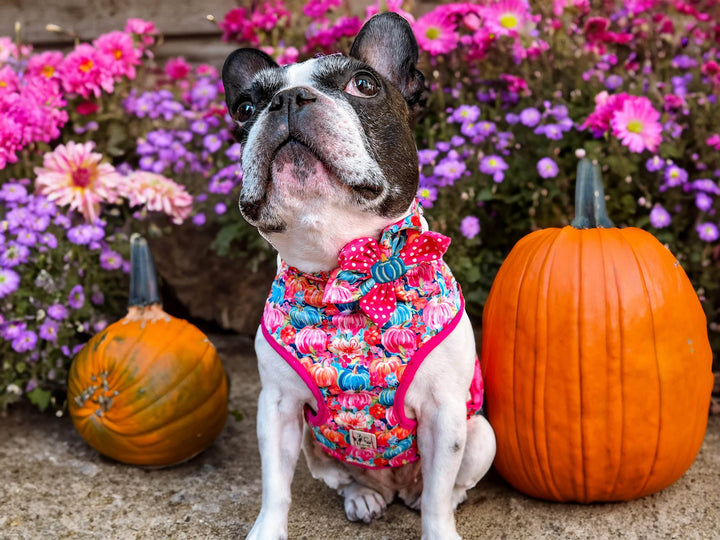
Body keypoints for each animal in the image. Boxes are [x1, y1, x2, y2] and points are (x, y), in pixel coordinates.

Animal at [222, 12, 498, 540]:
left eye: (364, 84)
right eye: (246, 107)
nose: (288, 99)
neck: (346, 268)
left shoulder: (445, 415)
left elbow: (439, 500)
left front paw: (438, 526)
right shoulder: (277, 411)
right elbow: (275, 488)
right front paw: (267, 530)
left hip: (481, 436)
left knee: (448, 486)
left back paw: (416, 495)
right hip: (316, 446)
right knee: (344, 477)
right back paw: (364, 496)